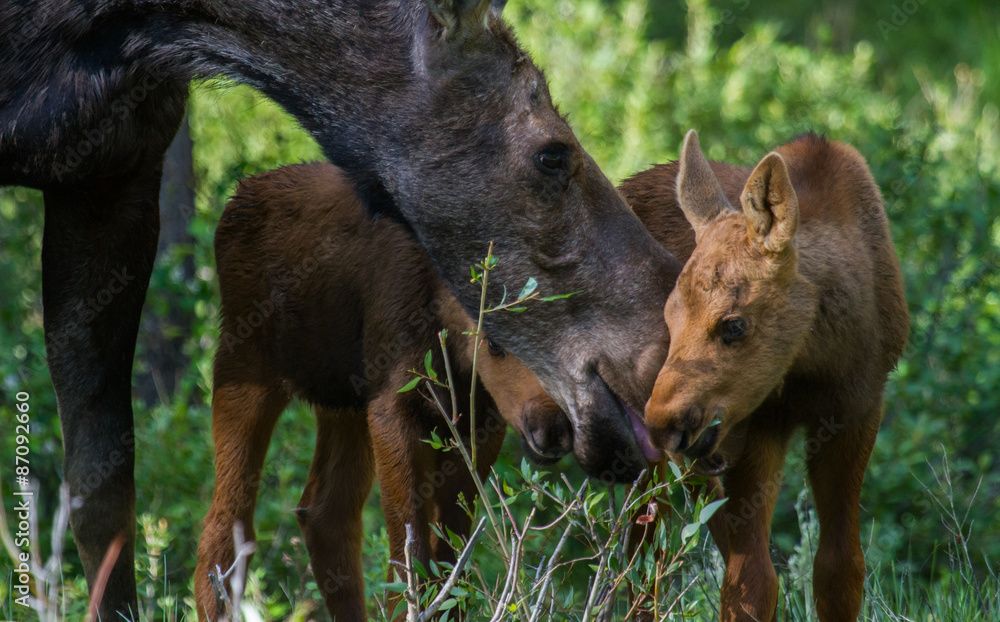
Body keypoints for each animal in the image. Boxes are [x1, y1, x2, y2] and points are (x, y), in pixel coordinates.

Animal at [195, 163, 576, 620]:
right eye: (497, 343)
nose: (552, 428)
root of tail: (239, 194)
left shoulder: (480, 422)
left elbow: (451, 560)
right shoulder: (394, 406)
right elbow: (409, 558)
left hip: (344, 400)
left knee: (325, 513)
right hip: (244, 361)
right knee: (226, 525)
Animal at [632, 129, 916, 620]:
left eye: (734, 324)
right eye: (668, 317)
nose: (663, 420)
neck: (814, 362)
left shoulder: (857, 412)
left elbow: (841, 571)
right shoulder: (756, 426)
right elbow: (751, 583)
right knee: (643, 556)